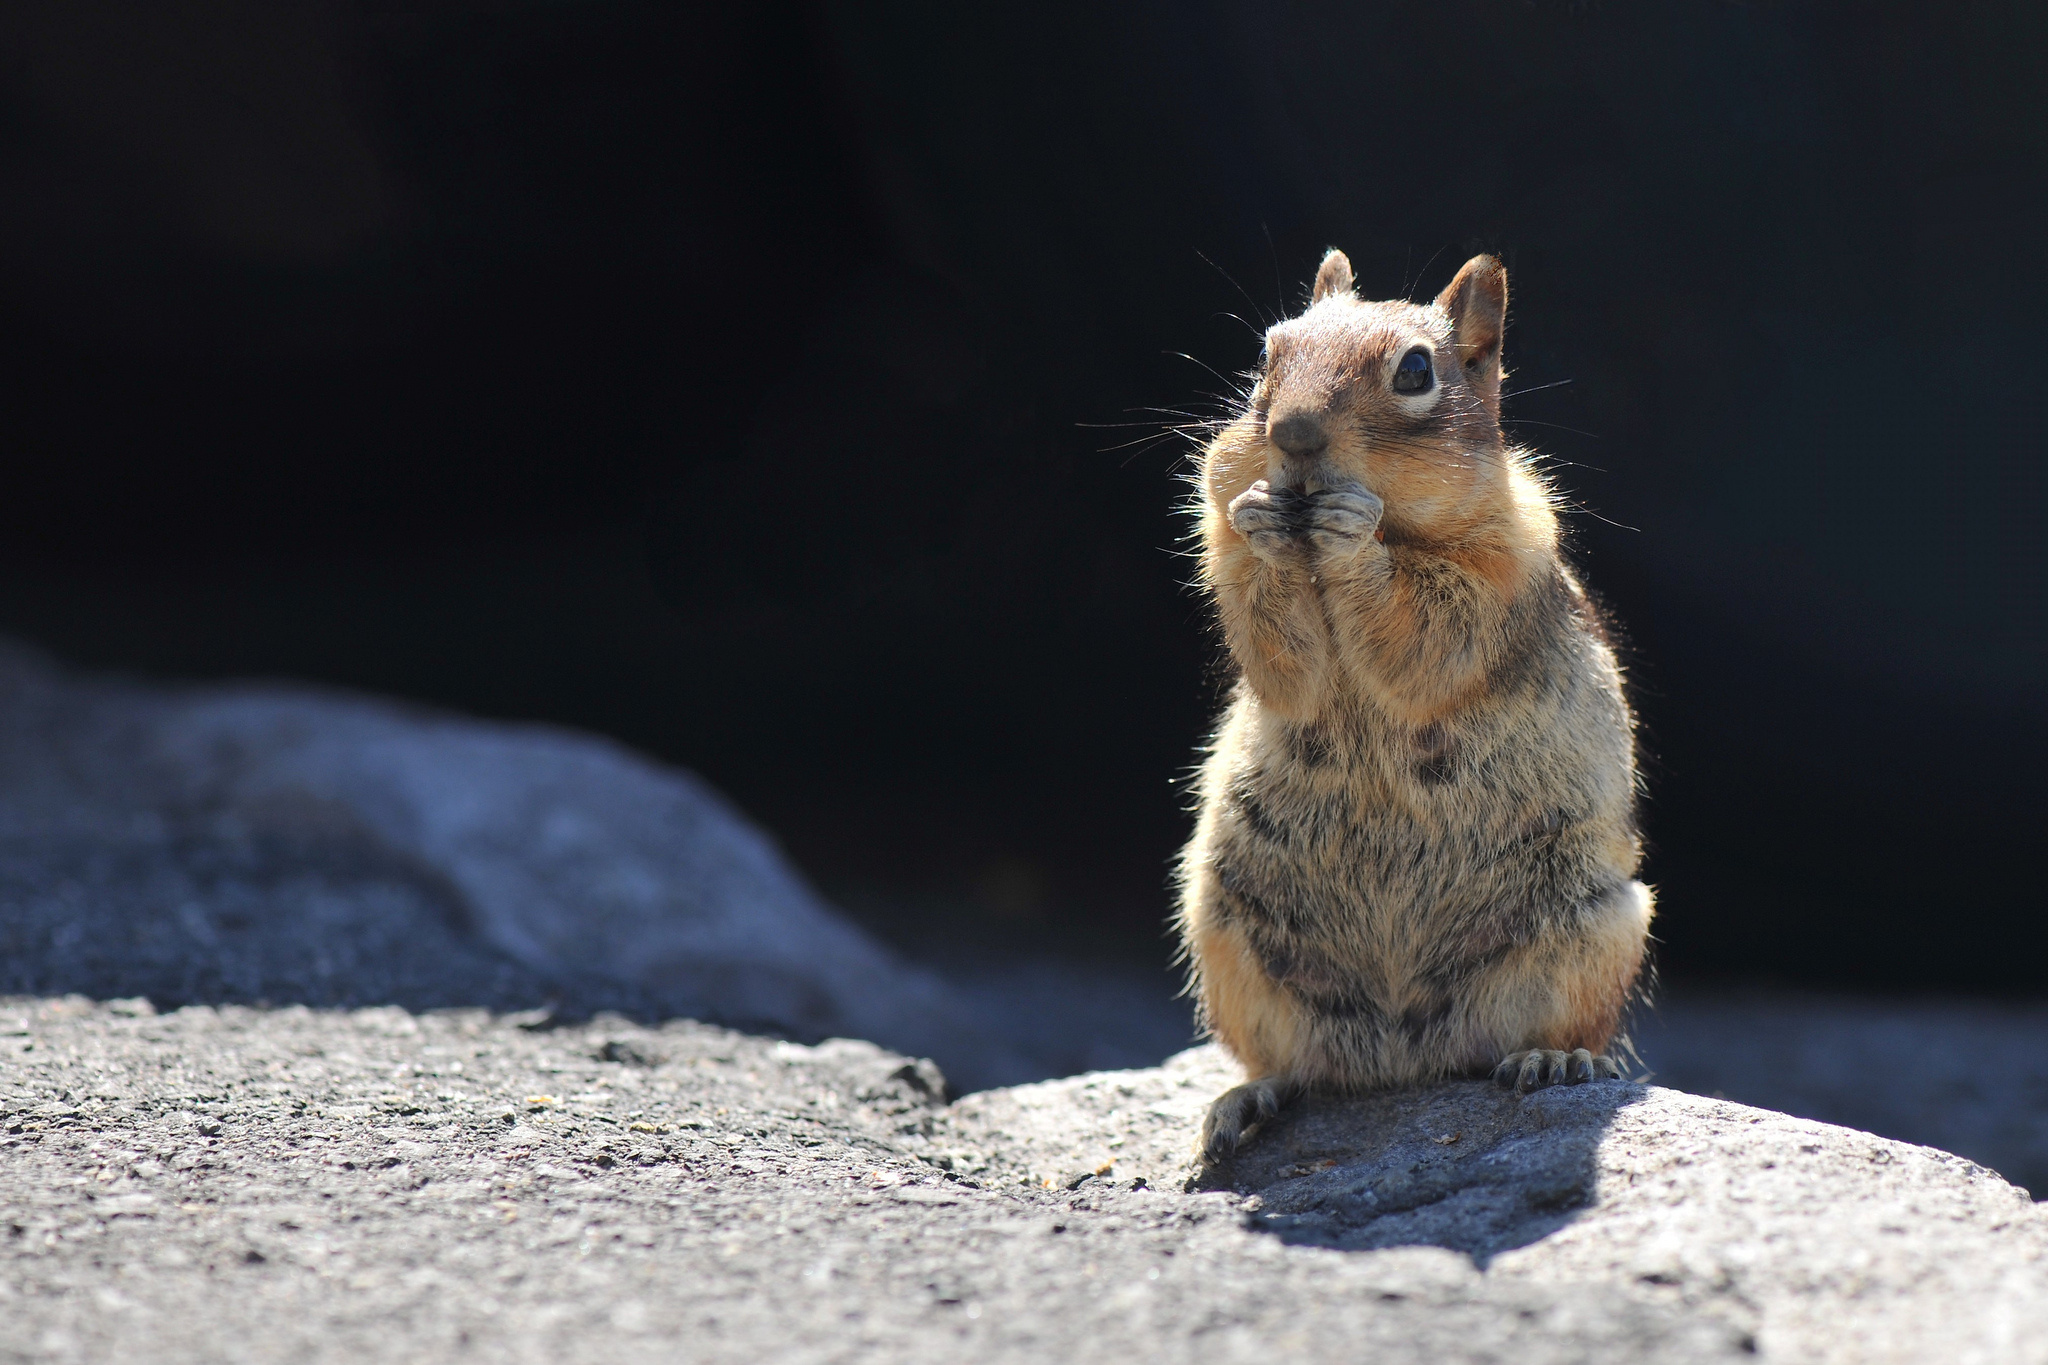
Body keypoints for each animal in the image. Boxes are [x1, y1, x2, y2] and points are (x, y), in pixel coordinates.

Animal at [1171, 248, 1646, 1162]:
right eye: (1266, 355)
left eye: (1416, 371)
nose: (1293, 436)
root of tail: (1402, 1056)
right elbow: (1276, 646)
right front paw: (1263, 522)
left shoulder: (1495, 568)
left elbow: (1426, 632)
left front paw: (1356, 534)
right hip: (1225, 929)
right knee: (1297, 1065)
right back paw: (1246, 1100)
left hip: (1594, 924)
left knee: (1555, 1029)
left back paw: (1557, 1059)